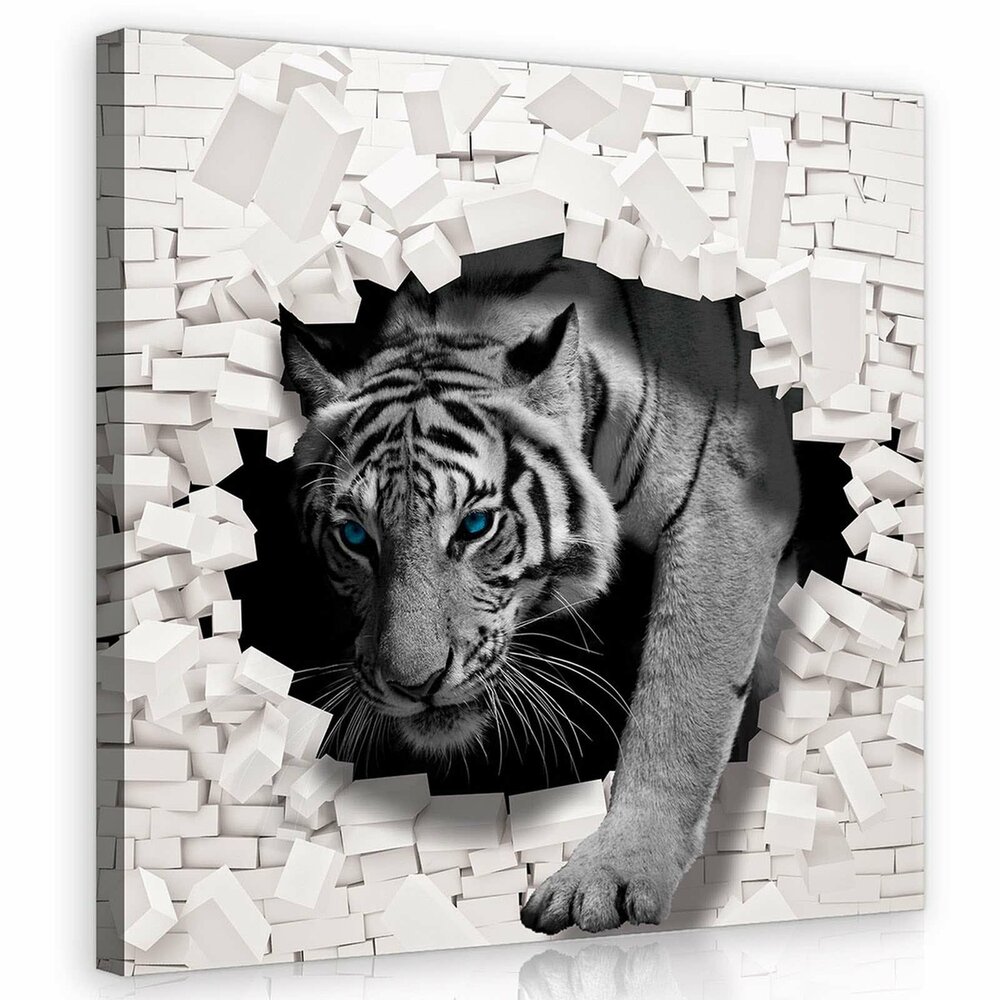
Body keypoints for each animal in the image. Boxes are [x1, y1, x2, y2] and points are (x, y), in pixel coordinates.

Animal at [279, 234, 800, 935]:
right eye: (356, 537)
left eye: (475, 526)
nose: (413, 686)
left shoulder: (727, 504)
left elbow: (680, 704)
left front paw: (613, 874)